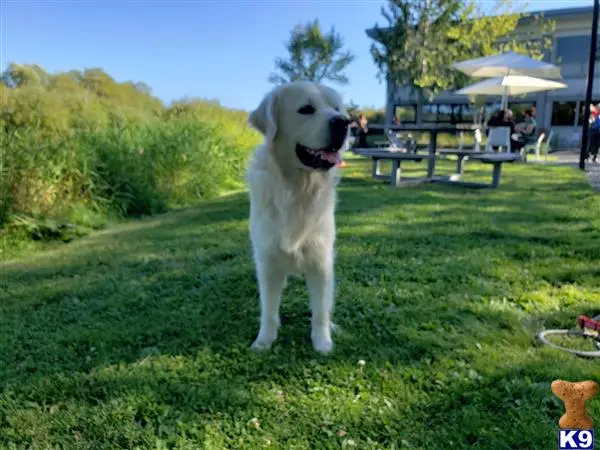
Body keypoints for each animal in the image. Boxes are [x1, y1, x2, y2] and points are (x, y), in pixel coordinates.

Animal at [245, 81, 350, 356]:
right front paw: (264, 341)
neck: (297, 187)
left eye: (336, 108)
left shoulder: (321, 261)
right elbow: (268, 310)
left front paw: (322, 342)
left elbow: (320, 311)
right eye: (306, 109)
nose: (344, 122)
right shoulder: (267, 263)